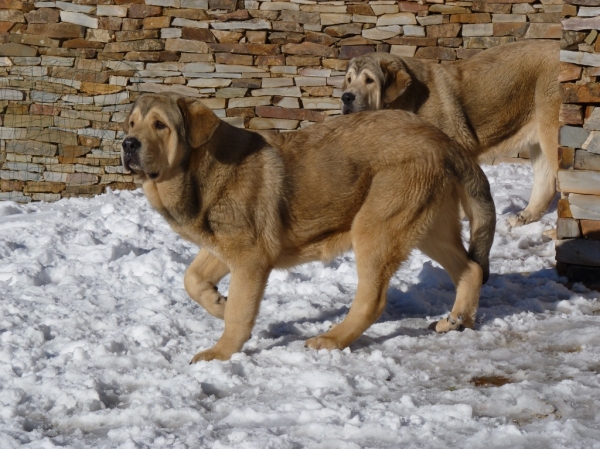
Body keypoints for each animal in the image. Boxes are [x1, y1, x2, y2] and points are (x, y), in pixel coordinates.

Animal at [119, 93, 494, 362]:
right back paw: (458, 320)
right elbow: (192, 279)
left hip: (376, 229)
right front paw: (218, 303)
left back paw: (331, 339)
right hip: (428, 228)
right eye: (132, 124)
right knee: (471, 269)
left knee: (373, 300)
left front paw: (221, 352)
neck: (200, 170)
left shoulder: (251, 258)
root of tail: (442, 139)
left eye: (160, 125)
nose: (127, 144)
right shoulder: (225, 248)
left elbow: (239, 313)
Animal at [342, 39, 564, 226]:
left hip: (551, 133)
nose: (345, 97)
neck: (409, 101)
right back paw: (524, 217)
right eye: (349, 79)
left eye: (369, 80)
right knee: (546, 184)